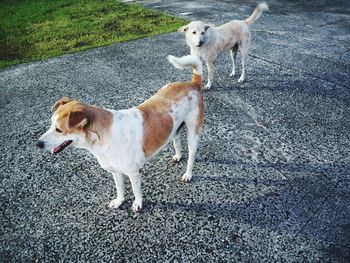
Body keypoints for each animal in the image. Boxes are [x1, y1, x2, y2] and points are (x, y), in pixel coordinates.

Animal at [37, 54, 204, 213]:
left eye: (59, 129)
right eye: (51, 124)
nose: (38, 143)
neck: (103, 136)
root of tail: (192, 83)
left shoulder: (134, 172)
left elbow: (136, 191)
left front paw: (138, 204)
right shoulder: (115, 171)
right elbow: (120, 189)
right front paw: (119, 202)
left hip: (193, 133)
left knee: (191, 155)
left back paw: (188, 174)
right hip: (174, 127)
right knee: (176, 139)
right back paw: (178, 156)